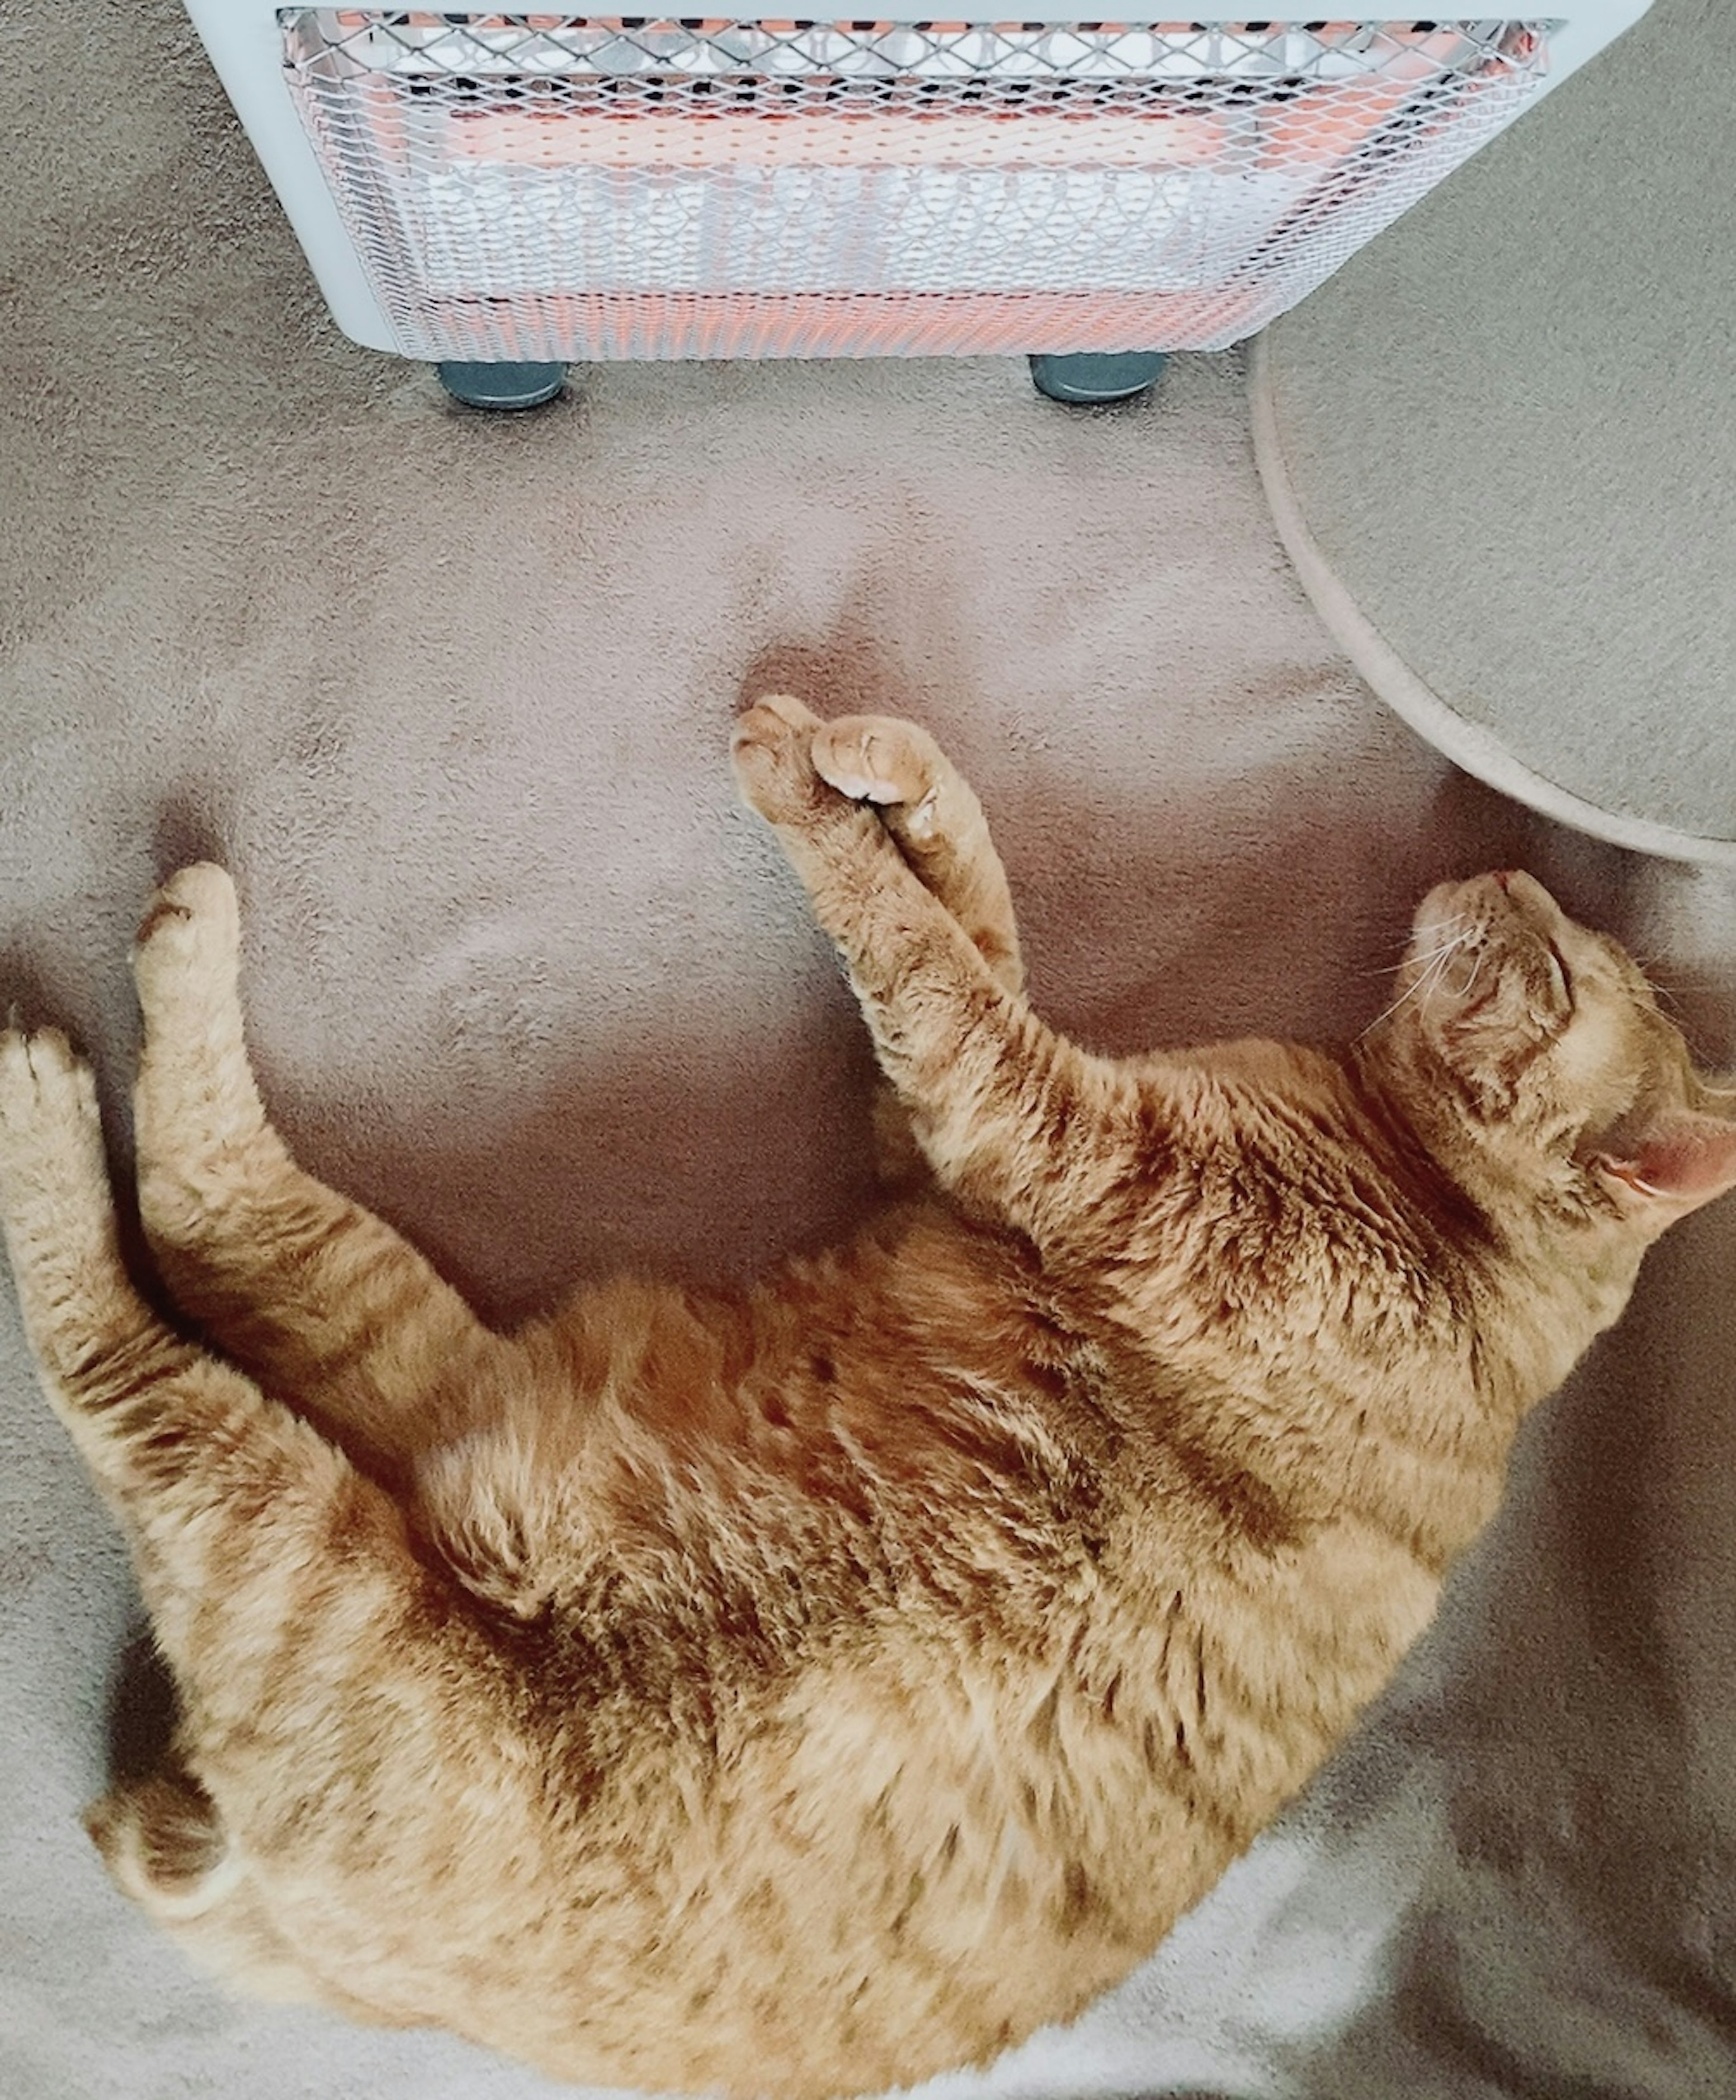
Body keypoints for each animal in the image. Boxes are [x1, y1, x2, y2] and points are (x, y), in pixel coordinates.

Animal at [3, 693, 1736, 2100]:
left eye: (1556, 961)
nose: (1506, 872)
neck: (1448, 1225)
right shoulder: (952, 1148)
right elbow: (966, 910)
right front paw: (881, 769)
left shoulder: (1038, 1128)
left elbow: (917, 956)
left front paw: (805, 792)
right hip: (396, 1381)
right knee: (205, 1229)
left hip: (313, 1538)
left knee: (156, 1279)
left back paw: (71, 1048)